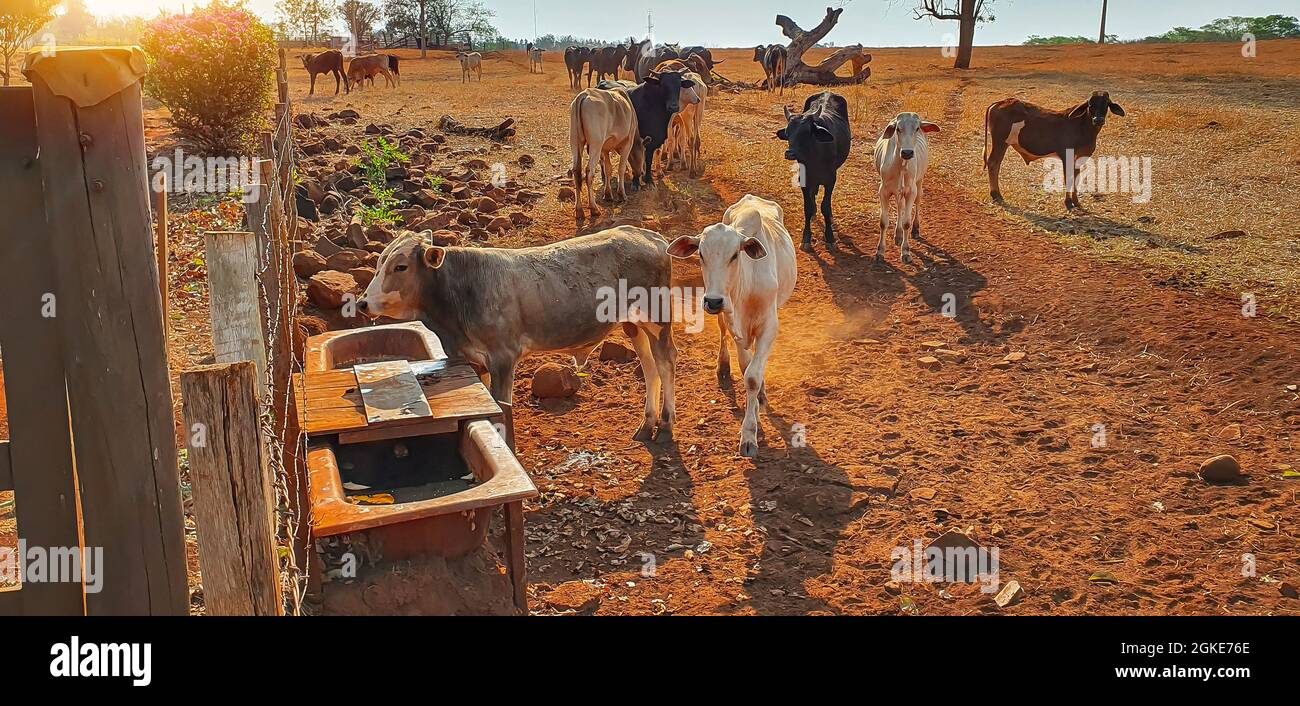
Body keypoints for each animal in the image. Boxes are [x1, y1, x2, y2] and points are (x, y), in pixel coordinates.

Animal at [572, 86, 642, 217]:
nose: (641, 172)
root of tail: (584, 95)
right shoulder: (628, 143)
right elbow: (621, 168)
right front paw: (621, 194)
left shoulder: (604, 149)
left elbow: (608, 169)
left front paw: (608, 194)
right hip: (596, 144)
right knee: (589, 172)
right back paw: (594, 208)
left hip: (575, 141)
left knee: (576, 171)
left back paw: (579, 210)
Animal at [665, 193, 795, 457]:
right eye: (701, 254)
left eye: (735, 255)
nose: (714, 301)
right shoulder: (735, 326)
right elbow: (746, 369)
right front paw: (752, 422)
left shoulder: (768, 328)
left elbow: (753, 377)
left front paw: (750, 431)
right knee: (723, 334)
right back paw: (724, 365)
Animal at [769, 90, 852, 250]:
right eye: (788, 133)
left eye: (805, 132)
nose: (790, 153)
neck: (815, 153)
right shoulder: (804, 179)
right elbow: (807, 207)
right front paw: (806, 238)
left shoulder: (831, 179)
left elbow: (825, 206)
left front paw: (830, 237)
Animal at [873, 111, 935, 266]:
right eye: (898, 129)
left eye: (917, 128)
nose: (907, 152)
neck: (901, 165)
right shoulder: (883, 191)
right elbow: (883, 222)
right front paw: (880, 252)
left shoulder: (910, 191)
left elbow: (906, 222)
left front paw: (906, 252)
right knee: (900, 205)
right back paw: (898, 234)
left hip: (919, 183)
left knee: (917, 202)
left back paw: (915, 228)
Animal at [977, 90, 1123, 210]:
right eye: (1090, 105)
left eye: (1106, 105)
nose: (1098, 120)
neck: (1082, 127)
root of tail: (1001, 102)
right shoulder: (1066, 155)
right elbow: (1068, 177)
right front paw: (1068, 202)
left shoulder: (1079, 158)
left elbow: (1076, 177)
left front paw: (1076, 202)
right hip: (1000, 143)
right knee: (993, 163)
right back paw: (996, 194)